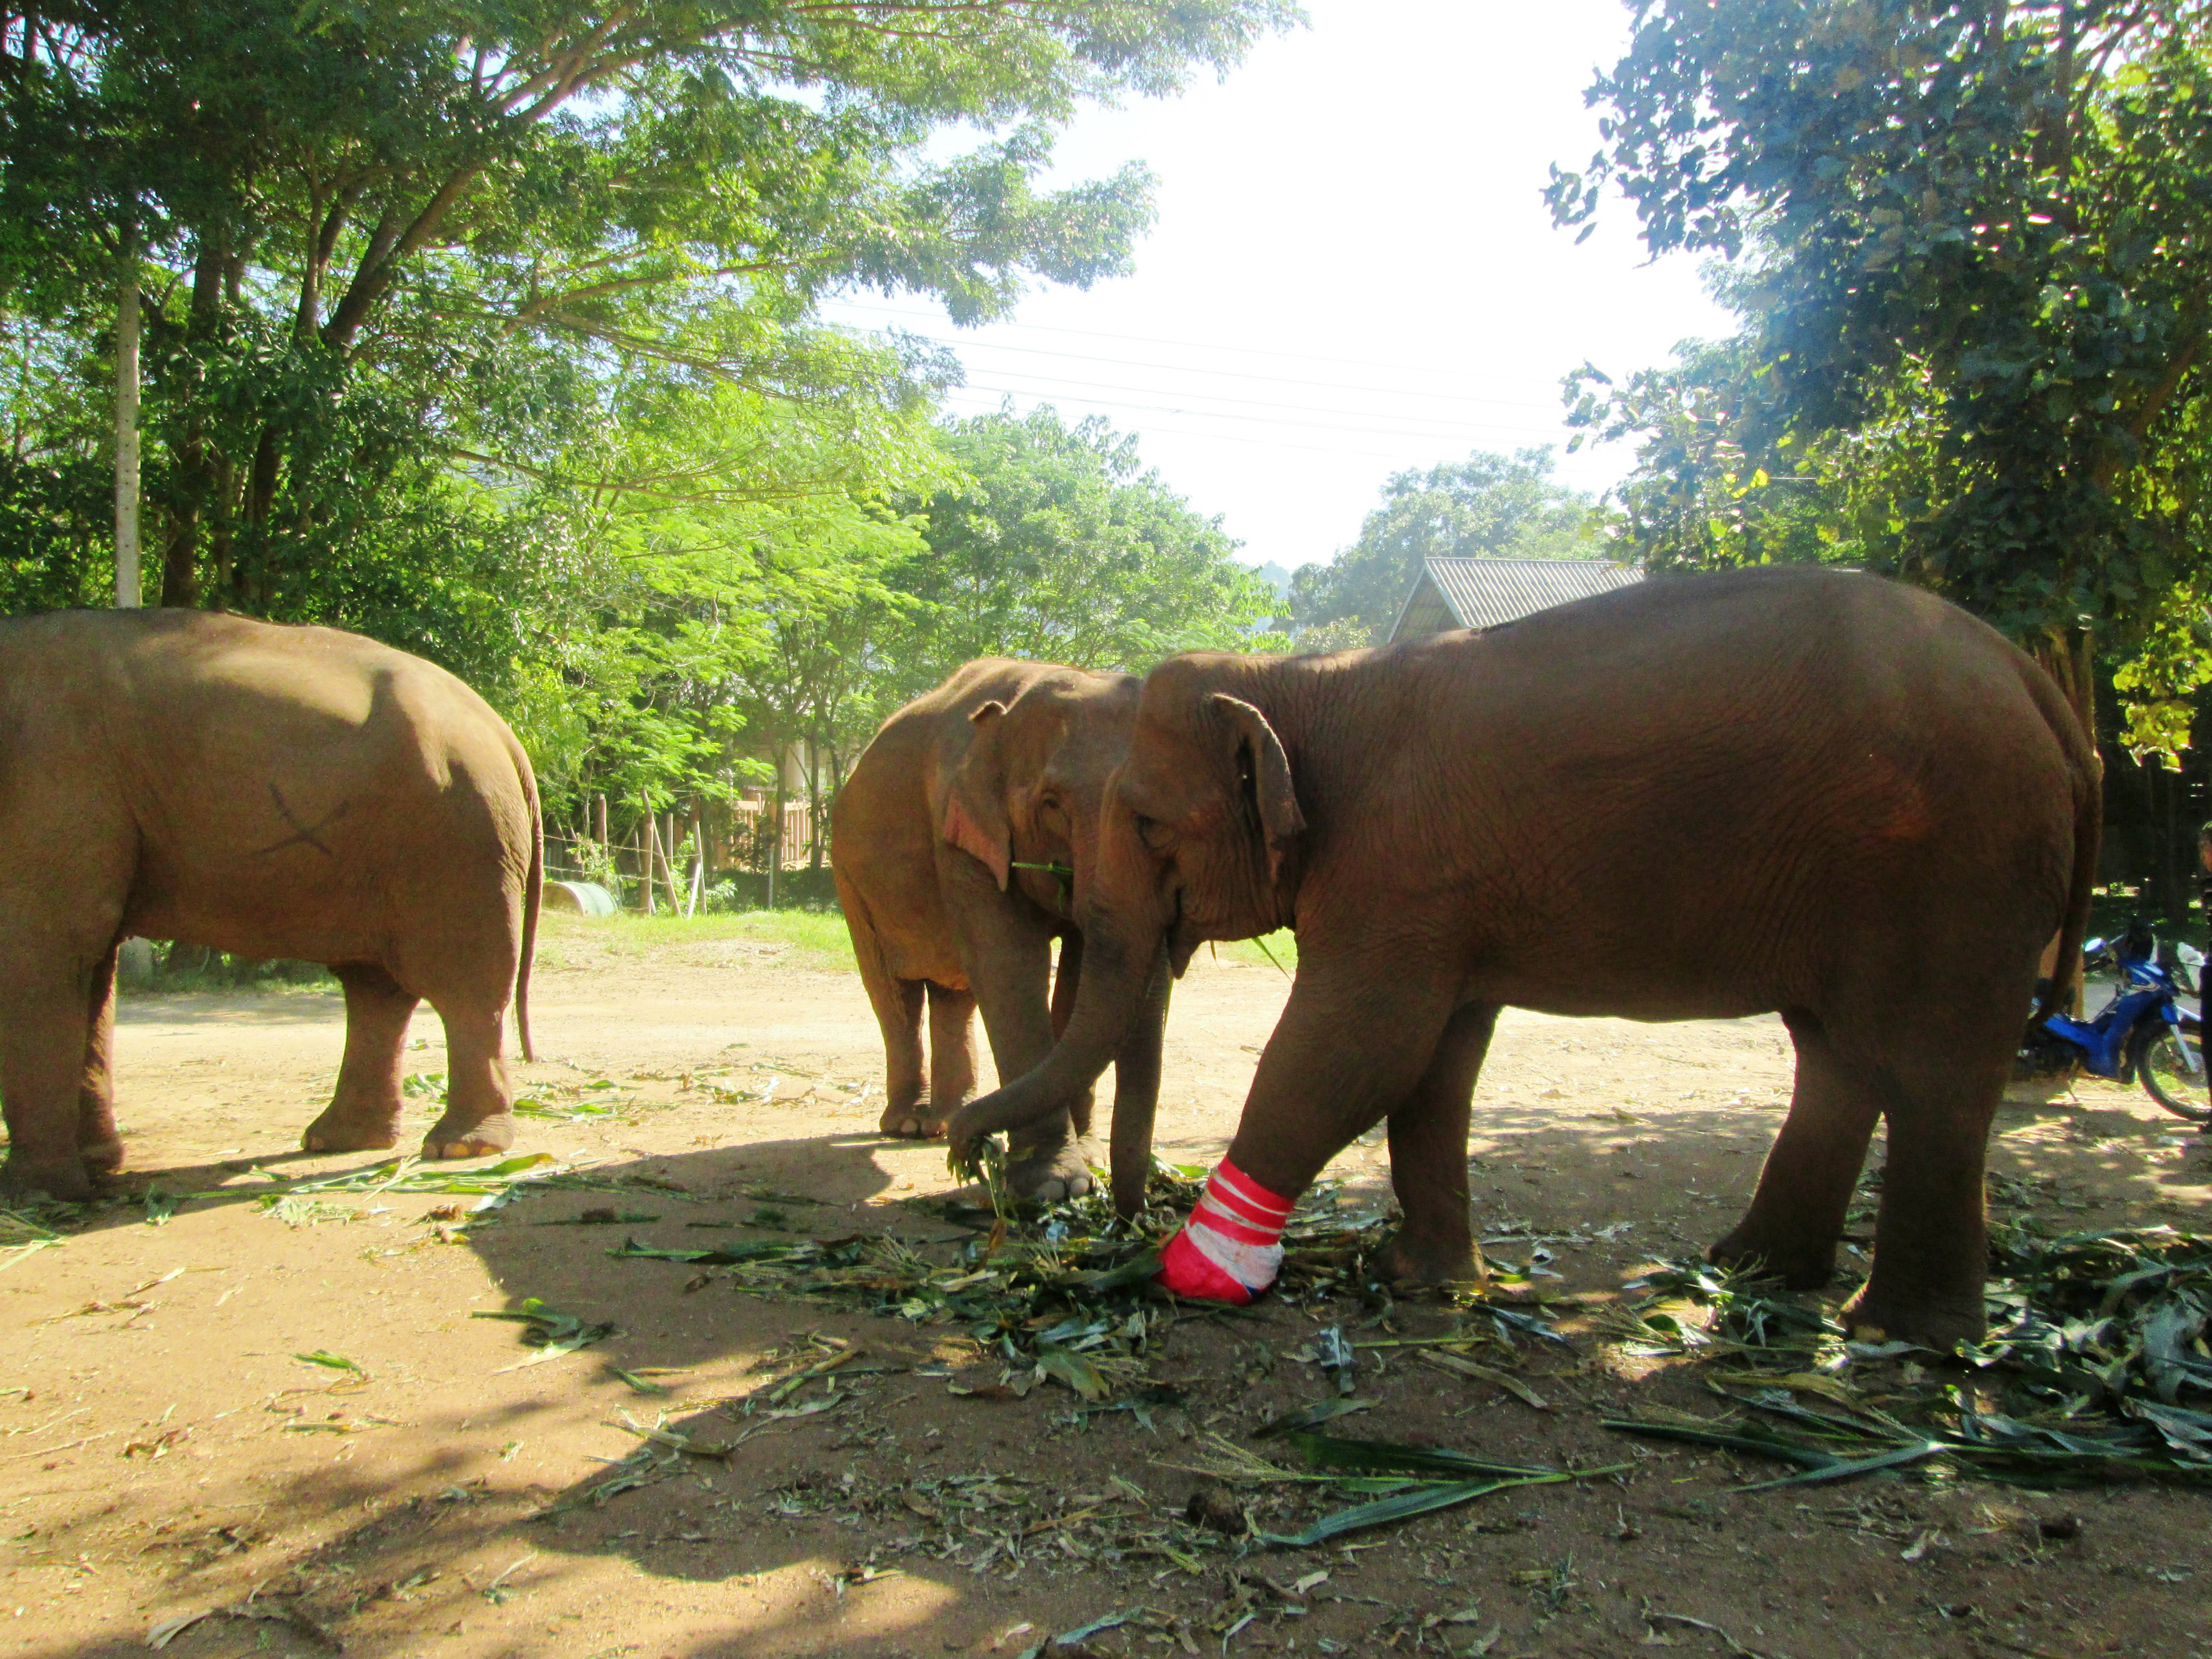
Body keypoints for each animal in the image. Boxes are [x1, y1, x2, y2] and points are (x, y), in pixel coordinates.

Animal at [0, 608, 542, 1200]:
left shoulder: (54, 784)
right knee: (374, 985)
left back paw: (461, 1149)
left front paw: (33, 1193)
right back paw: (340, 1140)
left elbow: (41, 950)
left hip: (456, 837)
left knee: (460, 987)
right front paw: (95, 1169)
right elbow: (87, 962)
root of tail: (503, 732)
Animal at [831, 659, 1170, 1203]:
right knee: (893, 991)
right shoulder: (960, 831)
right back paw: (910, 1126)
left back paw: (940, 1122)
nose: (970, 1148)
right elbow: (1010, 966)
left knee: (955, 994)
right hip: (850, 878)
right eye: (1052, 804)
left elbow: (1079, 977)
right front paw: (1052, 1187)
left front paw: (1088, 1164)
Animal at [948, 567, 2099, 1348]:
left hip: (1961, 873)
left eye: (1146, 825)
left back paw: (1900, 1333)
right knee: (1839, 1058)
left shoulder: (1397, 869)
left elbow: (1350, 1051)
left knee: (1936, 1071)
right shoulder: (1439, 895)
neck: (1305, 682)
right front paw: (1425, 1281)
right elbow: (1434, 1067)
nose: (962, 1147)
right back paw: (1755, 1271)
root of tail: (2037, 682)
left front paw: (1194, 1275)